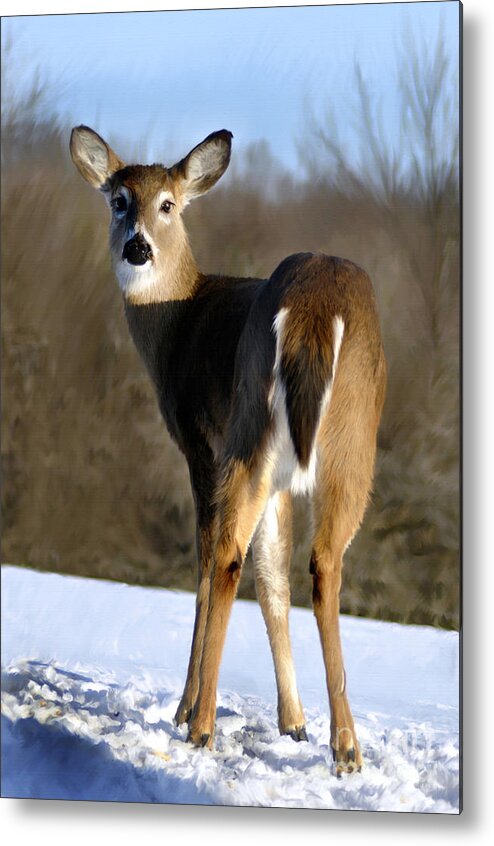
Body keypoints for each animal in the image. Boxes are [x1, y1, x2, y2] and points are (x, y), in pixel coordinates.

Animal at [69, 122, 386, 780]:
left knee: (226, 557)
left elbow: (210, 561)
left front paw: (185, 708)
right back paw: (342, 745)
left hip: (256, 432)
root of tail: (315, 312)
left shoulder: (198, 442)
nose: (137, 248)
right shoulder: (269, 474)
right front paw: (293, 721)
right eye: (119, 200)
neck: (180, 320)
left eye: (168, 204)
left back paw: (202, 723)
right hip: (333, 442)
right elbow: (272, 575)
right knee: (315, 564)